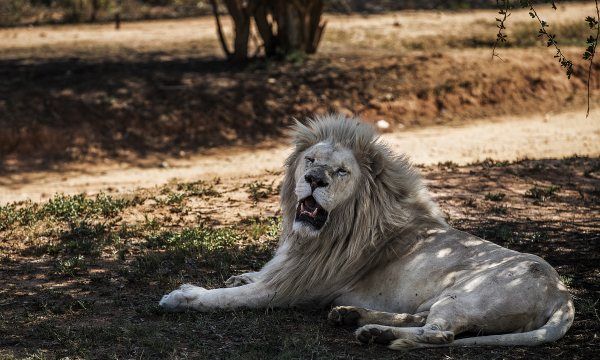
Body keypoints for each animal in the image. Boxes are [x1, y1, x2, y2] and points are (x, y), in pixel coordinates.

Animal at [159, 114, 572, 348]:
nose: (313, 179)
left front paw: (184, 297)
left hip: (468, 294)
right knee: (423, 320)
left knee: (440, 335)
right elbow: (252, 276)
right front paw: (239, 274)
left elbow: (229, 298)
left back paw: (377, 334)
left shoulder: (290, 290)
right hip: (443, 298)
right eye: (310, 160)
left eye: (341, 171)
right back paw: (354, 317)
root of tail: (563, 296)